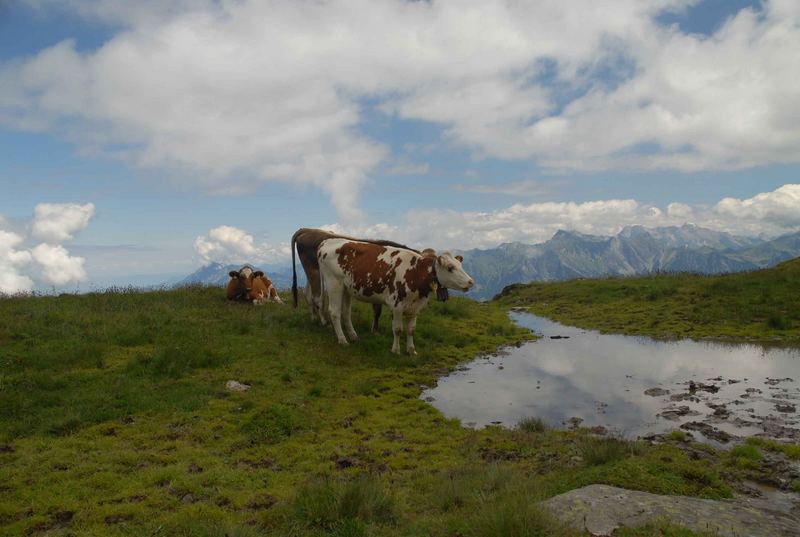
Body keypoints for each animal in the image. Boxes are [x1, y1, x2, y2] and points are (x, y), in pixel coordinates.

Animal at [316, 240, 472, 356]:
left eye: (460, 265)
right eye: (450, 268)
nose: (471, 282)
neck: (415, 271)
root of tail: (326, 241)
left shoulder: (415, 307)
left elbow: (411, 329)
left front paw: (411, 350)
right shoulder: (397, 305)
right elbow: (398, 329)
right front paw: (396, 350)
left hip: (346, 288)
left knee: (346, 313)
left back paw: (354, 337)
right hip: (334, 283)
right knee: (334, 312)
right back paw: (343, 340)